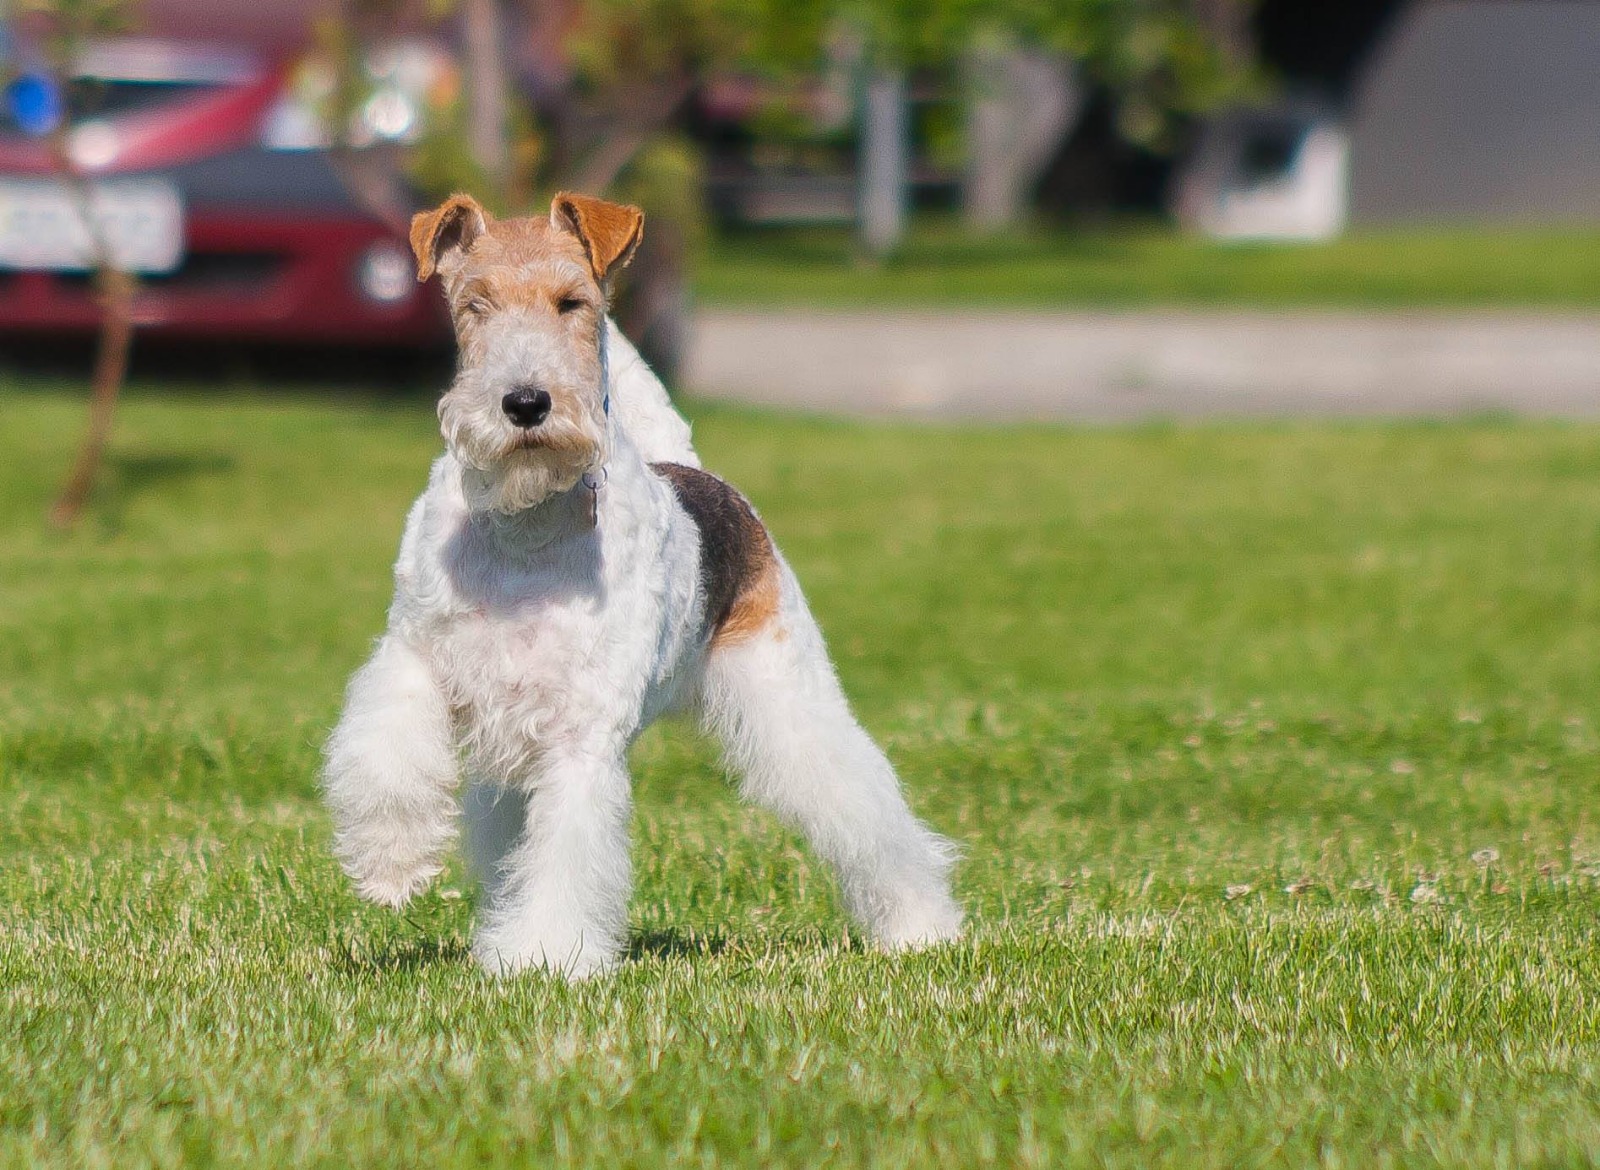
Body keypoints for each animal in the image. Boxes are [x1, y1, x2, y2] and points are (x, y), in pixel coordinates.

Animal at [318, 194, 953, 979]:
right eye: (475, 305)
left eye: (572, 303)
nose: (525, 404)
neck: (527, 522)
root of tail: (693, 470)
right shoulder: (414, 656)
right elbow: (386, 752)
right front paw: (391, 868)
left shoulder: (582, 735)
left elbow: (565, 862)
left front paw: (544, 960)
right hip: (509, 772)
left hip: (789, 691)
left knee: (867, 807)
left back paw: (923, 928)